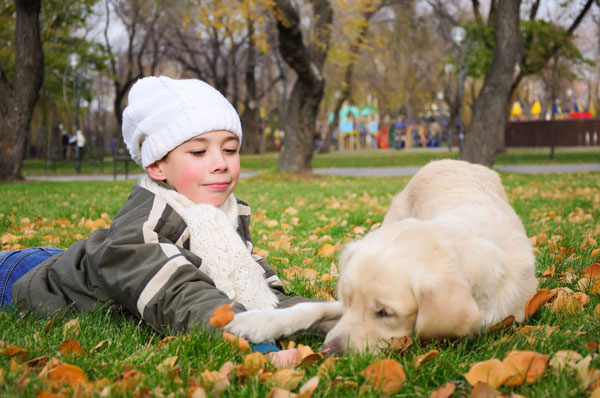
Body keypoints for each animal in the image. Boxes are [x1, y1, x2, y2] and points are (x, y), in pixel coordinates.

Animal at [226, 160, 540, 352]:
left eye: (386, 313)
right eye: (349, 301)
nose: (328, 352)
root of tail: (452, 161)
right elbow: (311, 309)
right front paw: (256, 322)